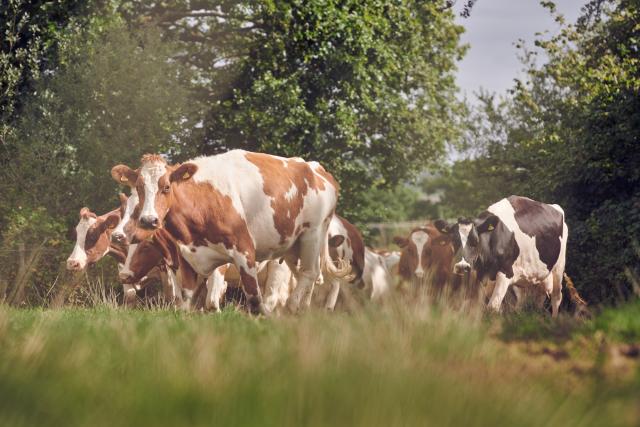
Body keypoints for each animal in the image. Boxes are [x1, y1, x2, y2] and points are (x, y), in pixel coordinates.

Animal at [110, 150, 348, 314]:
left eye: (167, 187)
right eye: (139, 188)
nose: (148, 220)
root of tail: (316, 168)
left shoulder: (242, 252)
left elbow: (248, 300)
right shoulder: (186, 260)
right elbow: (185, 302)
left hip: (312, 235)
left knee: (306, 276)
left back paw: (291, 308)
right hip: (292, 247)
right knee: (306, 277)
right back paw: (301, 311)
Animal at [435, 195, 568, 317]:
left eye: (475, 240)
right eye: (453, 240)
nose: (462, 266)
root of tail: (556, 207)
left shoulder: (505, 273)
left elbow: (492, 307)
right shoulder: (480, 276)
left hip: (559, 267)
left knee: (557, 297)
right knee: (529, 299)